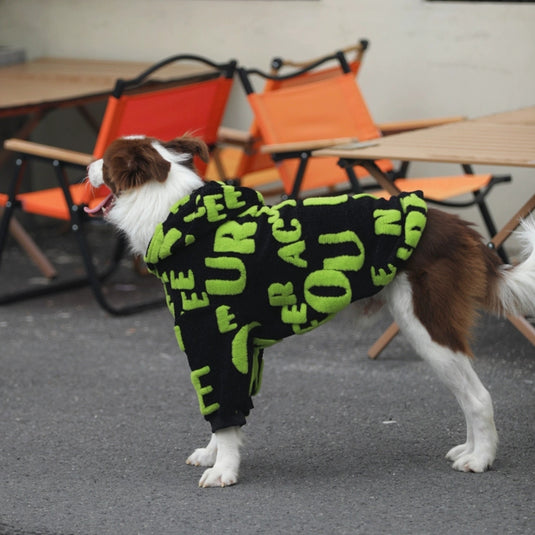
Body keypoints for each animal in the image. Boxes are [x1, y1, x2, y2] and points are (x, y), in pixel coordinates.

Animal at [86, 135, 535, 490]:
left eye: (105, 163)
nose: (86, 166)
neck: (175, 217)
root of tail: (462, 229)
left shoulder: (214, 339)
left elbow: (223, 413)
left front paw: (224, 471)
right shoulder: (240, 348)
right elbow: (227, 411)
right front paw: (215, 455)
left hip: (426, 325)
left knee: (478, 396)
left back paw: (481, 459)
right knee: (466, 394)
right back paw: (470, 449)